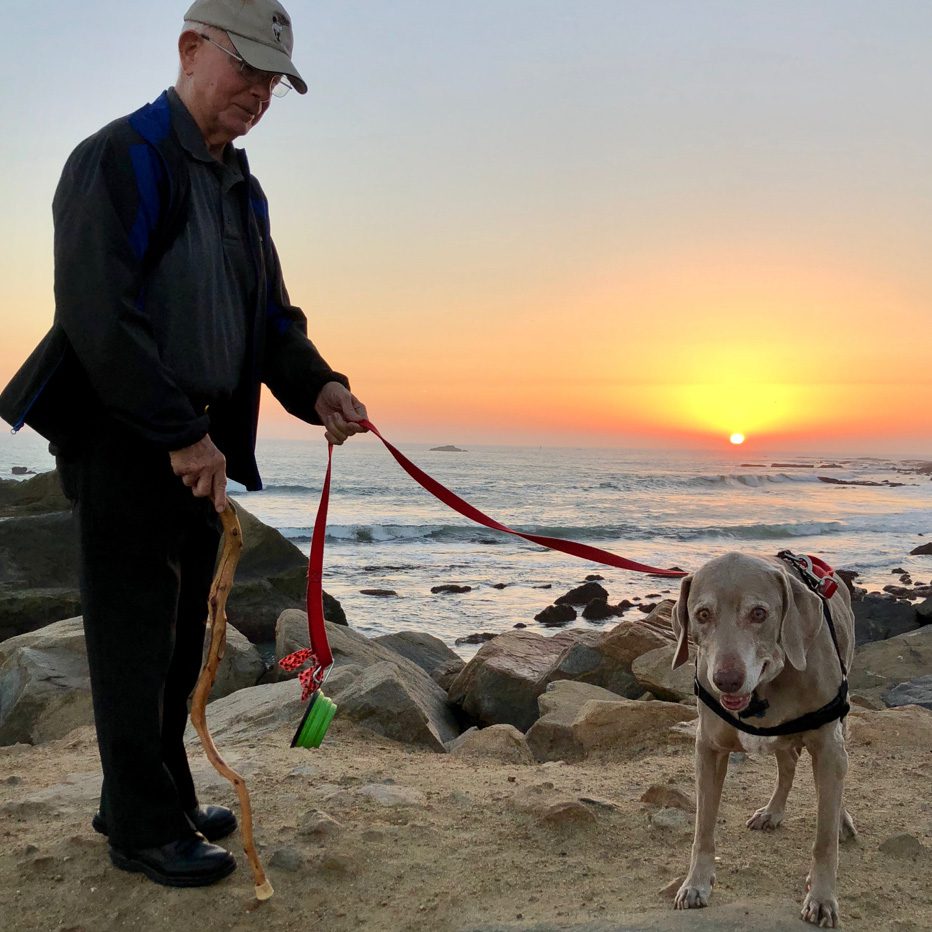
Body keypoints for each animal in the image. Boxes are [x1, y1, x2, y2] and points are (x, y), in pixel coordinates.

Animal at [668, 552, 856, 924]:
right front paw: (695, 883)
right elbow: (703, 827)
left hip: (839, 726)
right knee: (788, 765)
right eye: (702, 614)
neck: (766, 686)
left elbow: (824, 839)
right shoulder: (708, 749)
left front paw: (822, 897)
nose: (726, 680)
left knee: (833, 785)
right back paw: (771, 812)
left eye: (759, 613)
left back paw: (840, 820)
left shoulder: (828, 749)